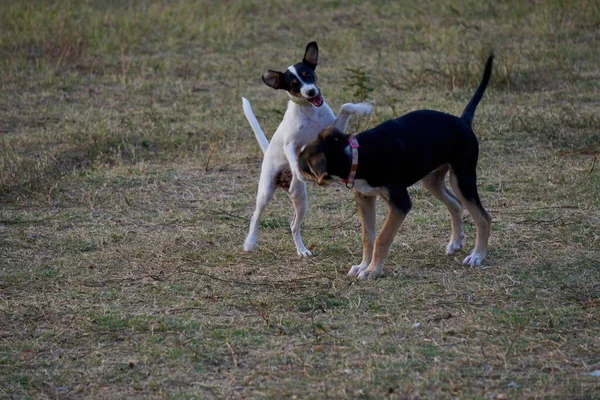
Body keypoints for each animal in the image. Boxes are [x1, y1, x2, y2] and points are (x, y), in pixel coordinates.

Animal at [298, 54, 494, 280]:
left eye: (303, 166)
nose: (293, 170)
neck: (356, 154)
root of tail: (463, 121)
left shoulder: (400, 204)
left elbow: (382, 237)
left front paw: (373, 270)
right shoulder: (365, 197)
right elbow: (368, 237)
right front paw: (363, 265)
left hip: (462, 178)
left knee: (484, 217)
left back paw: (477, 256)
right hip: (432, 180)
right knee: (455, 204)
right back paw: (455, 243)